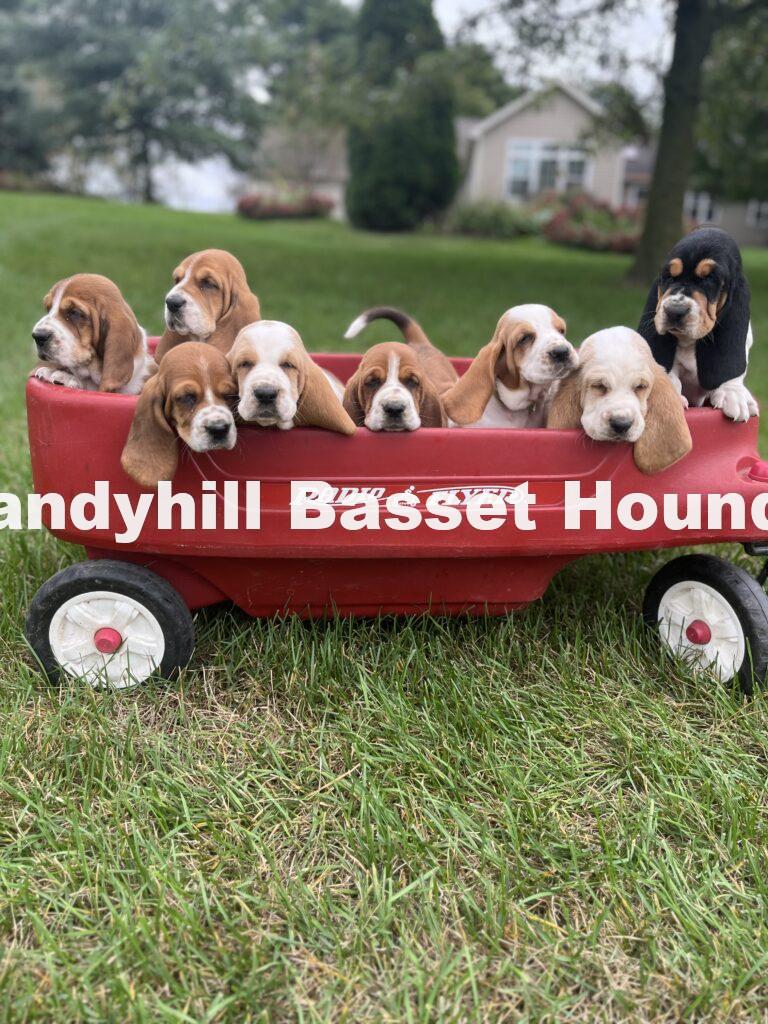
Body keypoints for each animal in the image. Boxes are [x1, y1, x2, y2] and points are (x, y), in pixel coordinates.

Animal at [638, 229, 757, 423]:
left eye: (709, 279)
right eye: (669, 276)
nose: (674, 311)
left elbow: (734, 374)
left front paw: (733, 394)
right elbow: (671, 375)